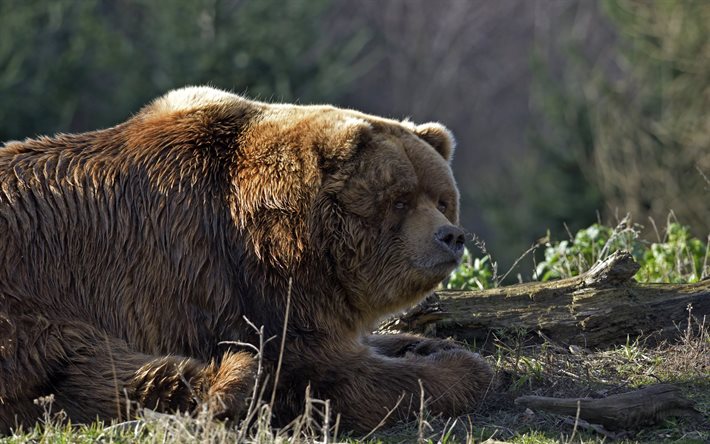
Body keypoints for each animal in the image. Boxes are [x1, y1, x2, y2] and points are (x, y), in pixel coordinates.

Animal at [0, 86, 496, 434]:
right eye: (400, 200)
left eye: (442, 199)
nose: (450, 236)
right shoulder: (239, 284)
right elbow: (326, 375)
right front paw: (460, 368)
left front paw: (424, 343)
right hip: (30, 301)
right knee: (85, 366)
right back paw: (234, 378)